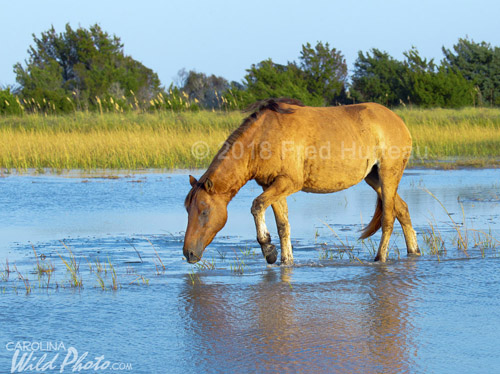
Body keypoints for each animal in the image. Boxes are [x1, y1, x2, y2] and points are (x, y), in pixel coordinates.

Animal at [183, 98, 418, 264]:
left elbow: (257, 206)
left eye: (204, 212)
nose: (188, 253)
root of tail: (399, 121)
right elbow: (283, 225)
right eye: (188, 210)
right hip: (374, 178)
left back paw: (381, 258)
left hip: (388, 175)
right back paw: (414, 251)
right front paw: (285, 260)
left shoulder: (288, 183)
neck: (262, 139)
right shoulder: (272, 185)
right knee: (402, 209)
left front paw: (268, 250)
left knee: (388, 217)